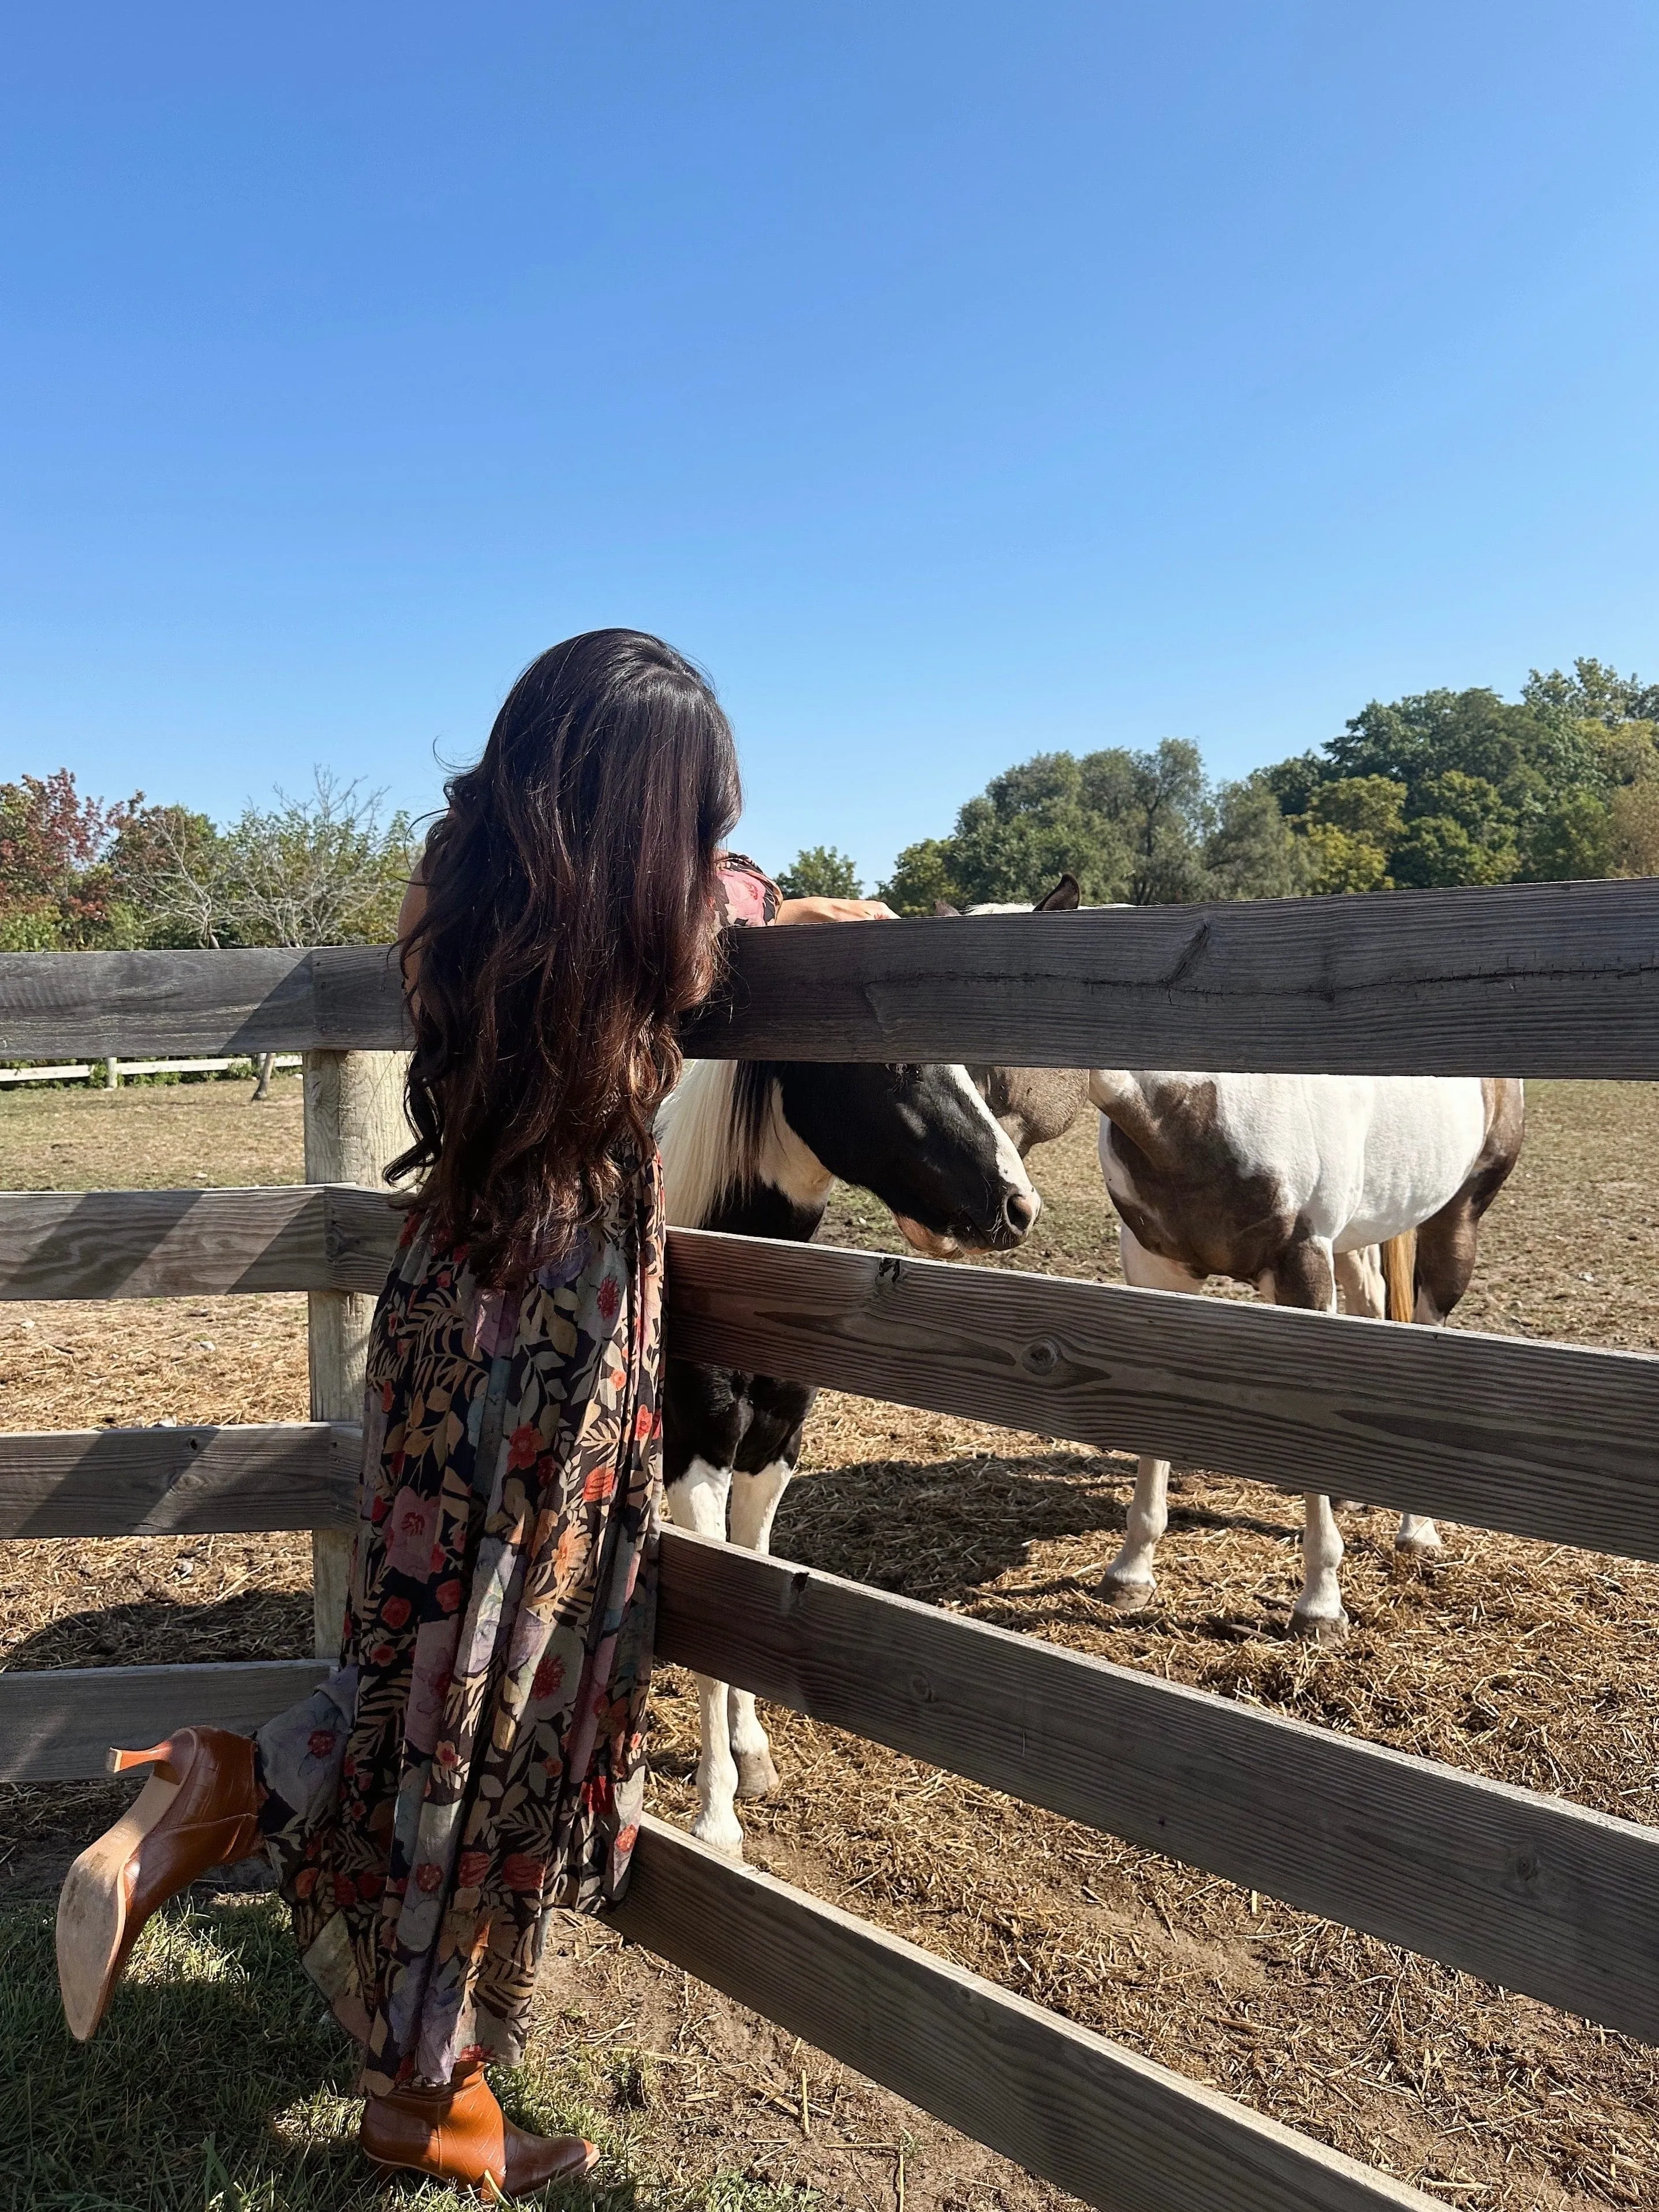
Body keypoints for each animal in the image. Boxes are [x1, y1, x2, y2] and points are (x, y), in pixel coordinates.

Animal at [659, 1062, 1040, 1858]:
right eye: (893, 1068)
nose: (1019, 1206)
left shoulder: (772, 1452)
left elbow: (752, 1582)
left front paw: (752, 1756)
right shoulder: (696, 1454)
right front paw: (715, 1819)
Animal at [942, 884, 1530, 1646]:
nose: (970, 1206)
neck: (1209, 1101)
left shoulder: (1302, 1271)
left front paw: (1320, 1605)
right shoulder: (1158, 1274)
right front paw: (1131, 1573)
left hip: (1453, 1222)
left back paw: (1417, 1528)